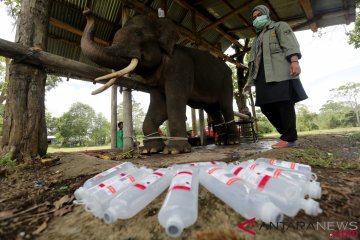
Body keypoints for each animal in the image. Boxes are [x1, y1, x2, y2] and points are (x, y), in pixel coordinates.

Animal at [81, 8, 239, 155]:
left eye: (138, 34)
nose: (87, 11)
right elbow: (159, 107)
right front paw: (150, 150)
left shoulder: (180, 66)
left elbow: (174, 101)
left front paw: (174, 150)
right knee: (213, 110)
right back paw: (221, 142)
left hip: (227, 81)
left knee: (226, 106)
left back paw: (232, 141)